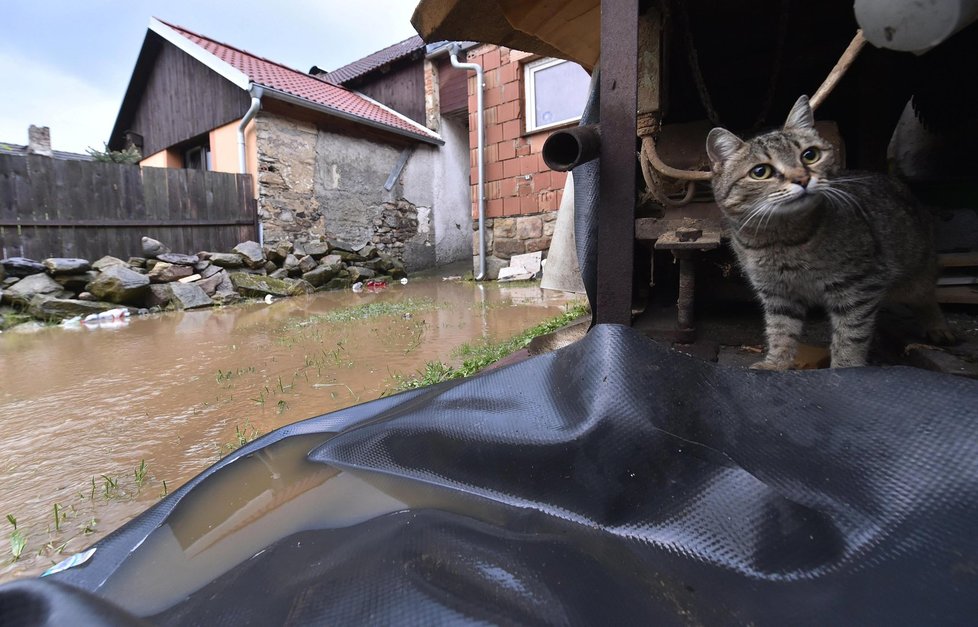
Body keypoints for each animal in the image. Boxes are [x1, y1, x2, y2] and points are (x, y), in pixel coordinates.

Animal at [704, 95, 948, 370]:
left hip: (915, 273)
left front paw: (845, 368)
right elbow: (780, 331)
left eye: (810, 155)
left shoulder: (859, 285)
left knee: (927, 294)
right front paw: (775, 363)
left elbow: (851, 334)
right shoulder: (777, 293)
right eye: (760, 172)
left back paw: (938, 327)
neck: (782, 239)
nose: (801, 179)